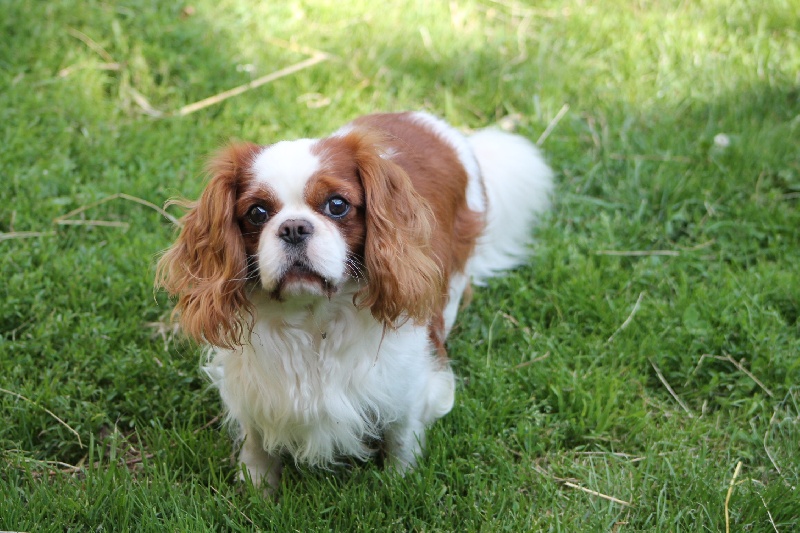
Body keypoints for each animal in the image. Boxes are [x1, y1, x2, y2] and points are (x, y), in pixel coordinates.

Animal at [159, 112, 552, 490]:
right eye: (257, 213)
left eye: (337, 205)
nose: (293, 227)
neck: (313, 319)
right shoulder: (252, 385)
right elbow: (255, 440)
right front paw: (257, 489)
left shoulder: (406, 381)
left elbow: (401, 435)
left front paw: (399, 482)